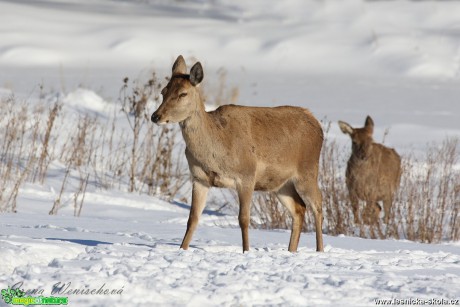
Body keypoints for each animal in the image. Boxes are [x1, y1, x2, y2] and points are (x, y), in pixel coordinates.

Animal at [151, 56, 324, 254]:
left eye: (183, 94)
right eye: (163, 91)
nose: (155, 116)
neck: (215, 151)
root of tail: (317, 124)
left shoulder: (247, 174)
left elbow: (244, 219)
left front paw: (246, 251)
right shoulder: (200, 178)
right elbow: (192, 219)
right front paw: (182, 249)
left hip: (307, 170)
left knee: (318, 205)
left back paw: (320, 250)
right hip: (280, 184)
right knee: (299, 208)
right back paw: (291, 251)